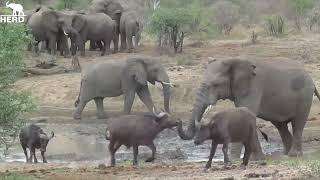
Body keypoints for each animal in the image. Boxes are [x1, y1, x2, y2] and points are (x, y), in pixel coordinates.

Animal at [178, 57, 320, 158]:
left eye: (215, 84)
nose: (178, 120)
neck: (233, 60)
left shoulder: (253, 87)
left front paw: (235, 160)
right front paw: (256, 159)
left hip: (305, 97)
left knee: (298, 123)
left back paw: (294, 155)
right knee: (280, 125)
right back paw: (284, 154)